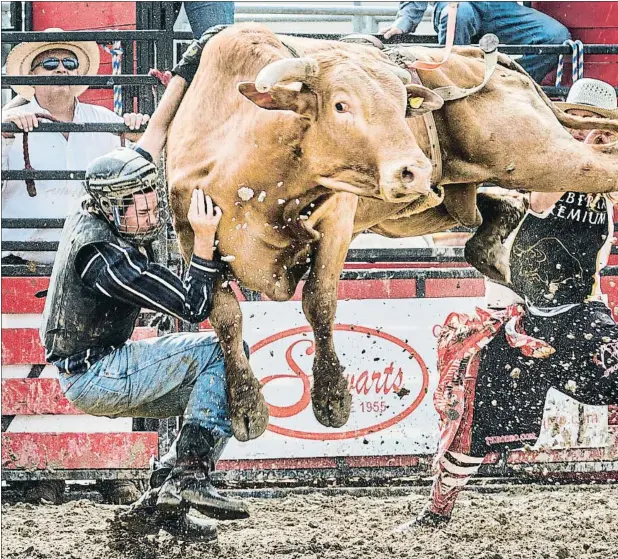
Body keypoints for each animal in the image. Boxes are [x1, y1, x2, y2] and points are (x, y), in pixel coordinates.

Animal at [167, 23, 616, 442]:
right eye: (341, 104)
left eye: (403, 107)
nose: (414, 169)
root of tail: (490, 59)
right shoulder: (190, 233)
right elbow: (225, 315)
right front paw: (246, 407)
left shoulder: (338, 219)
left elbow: (319, 300)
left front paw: (331, 396)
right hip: (426, 206)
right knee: (494, 213)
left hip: (539, 155)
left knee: (602, 162)